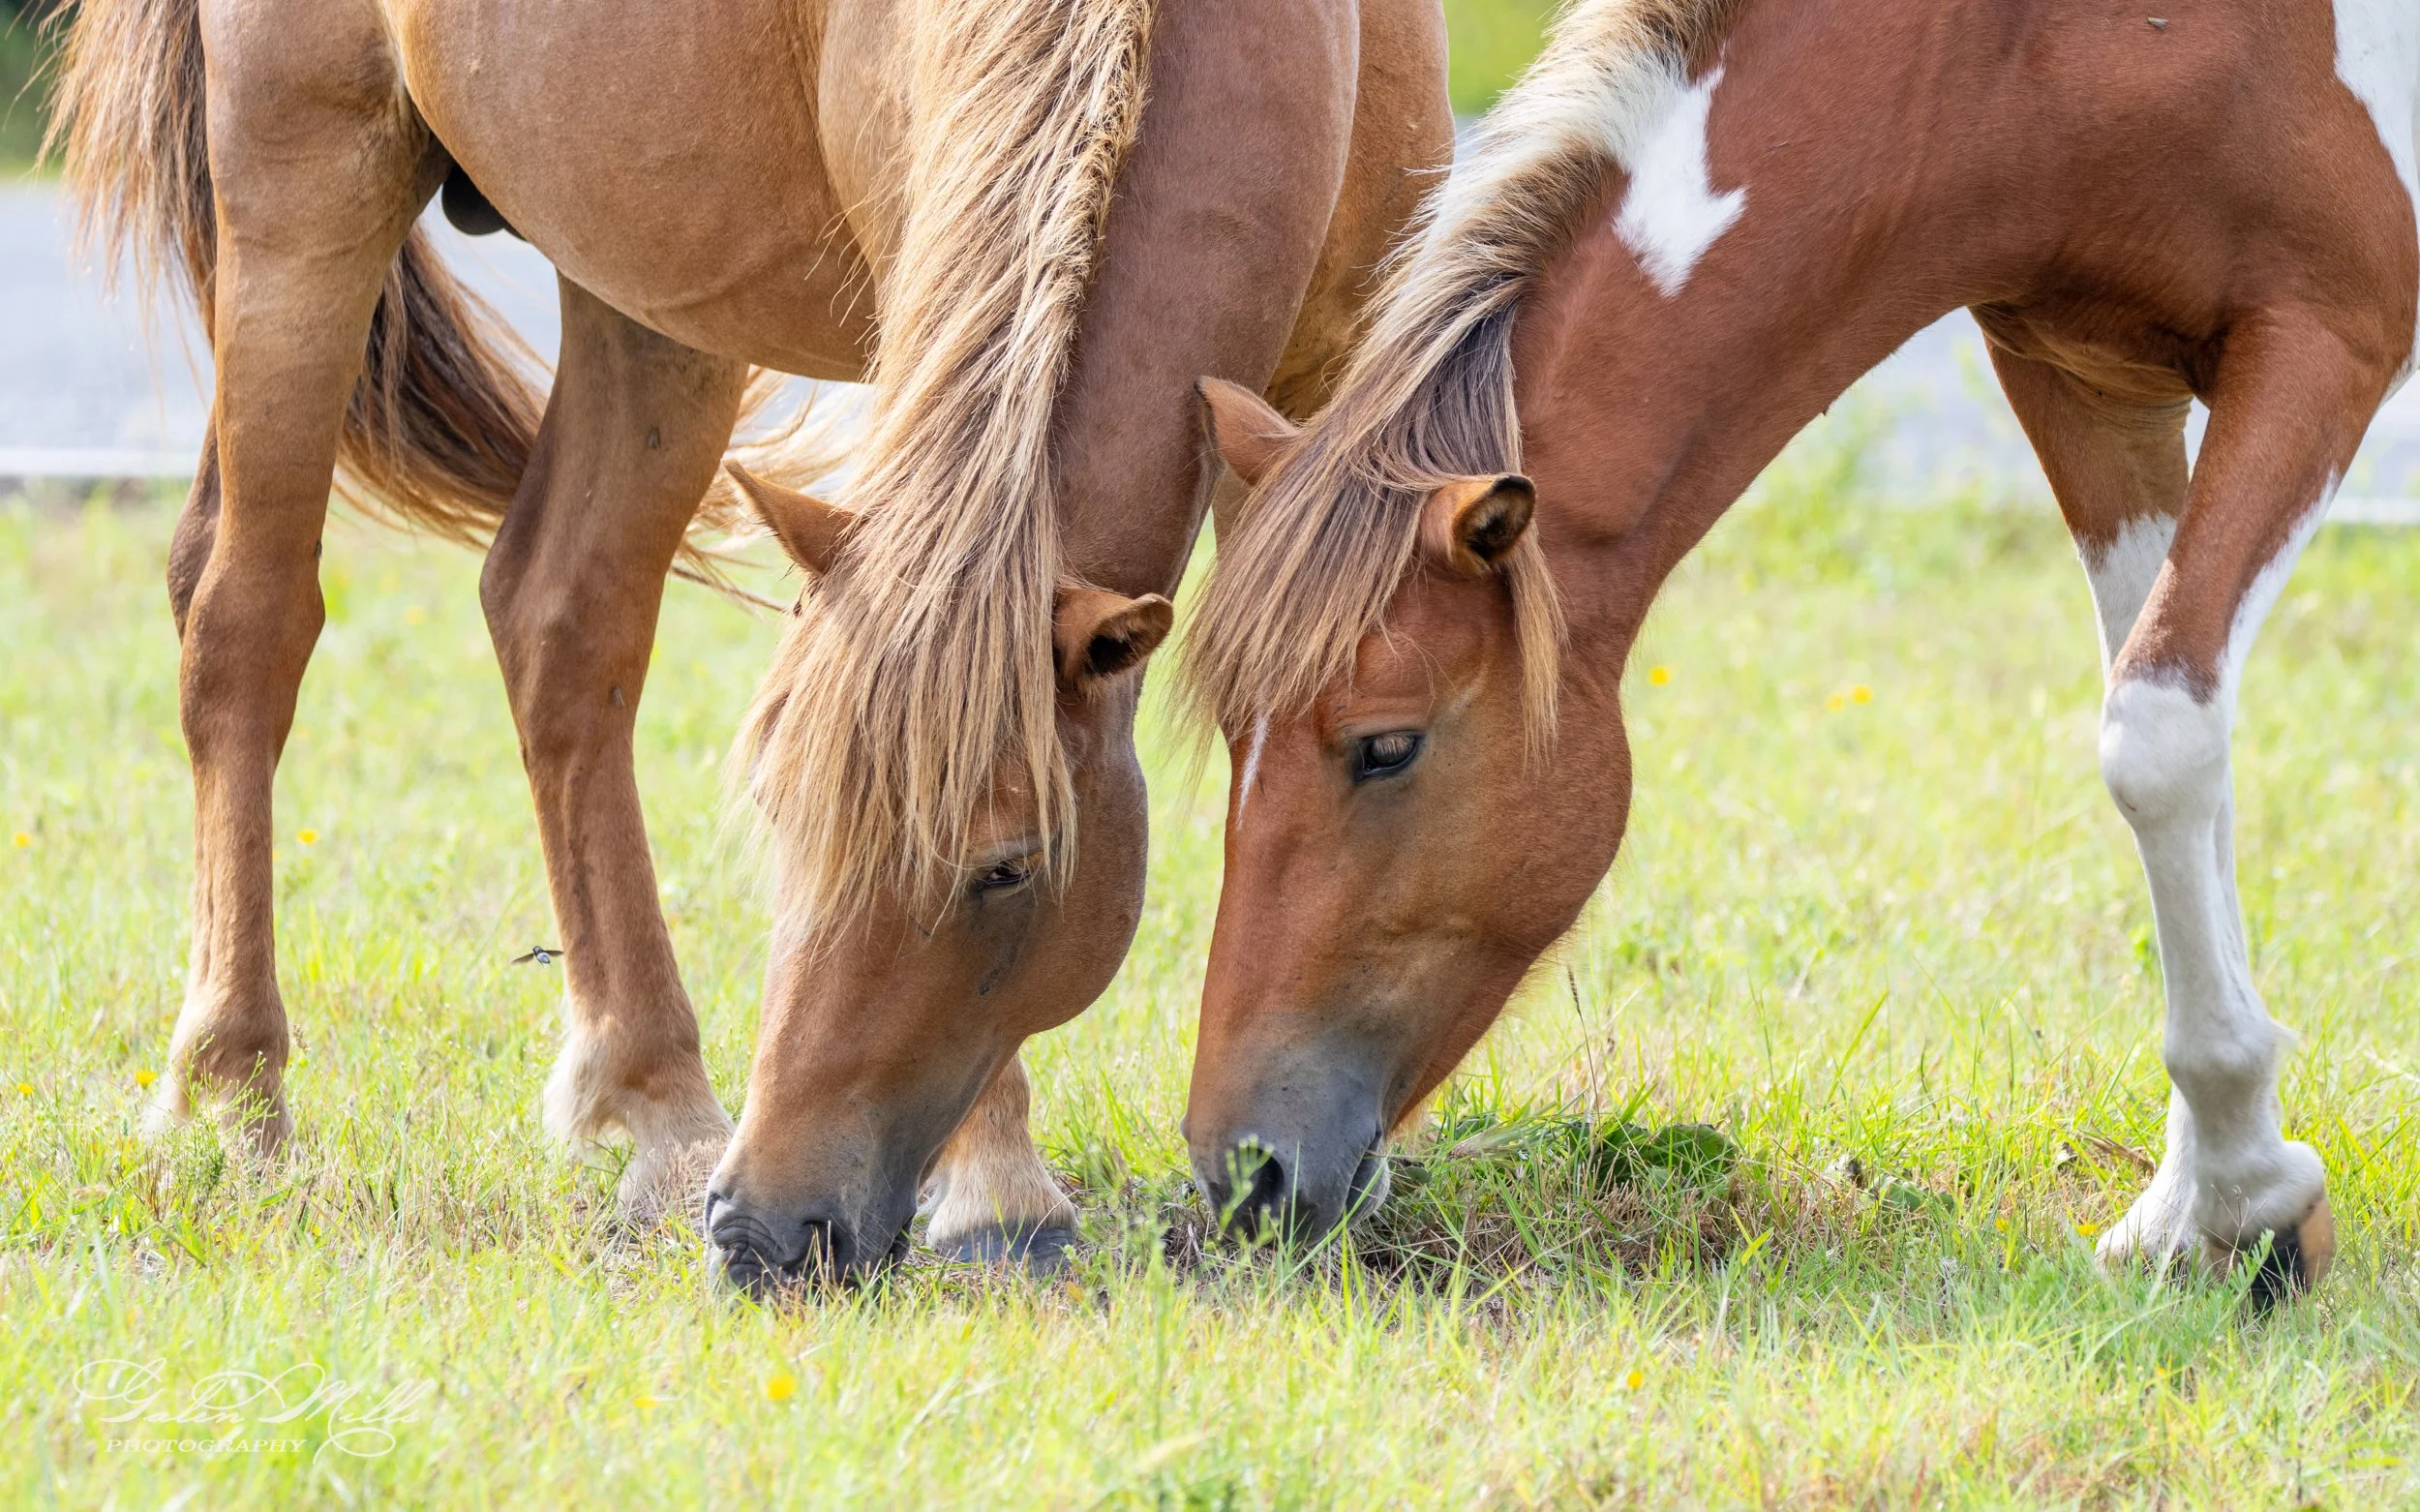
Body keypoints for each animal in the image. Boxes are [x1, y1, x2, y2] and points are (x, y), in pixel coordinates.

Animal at [48, 0, 1448, 1286]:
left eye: (1006, 866)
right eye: (783, 818)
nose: (764, 1232)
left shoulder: (1341, 375)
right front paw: (1000, 1186)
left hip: (648, 286)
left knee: (560, 617)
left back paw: (658, 1106)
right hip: (305, 181)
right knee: (246, 617)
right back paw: (232, 1091)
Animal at [1180, 0, 2415, 1300]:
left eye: (1386, 746)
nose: (1241, 1171)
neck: (2035, 48)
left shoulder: (2321, 343)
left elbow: (2158, 737)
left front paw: (2238, 1193)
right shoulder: (2086, 380)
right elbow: (2182, 738)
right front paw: (2196, 1202)